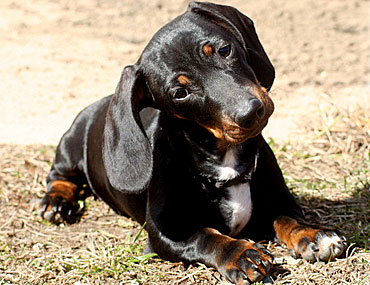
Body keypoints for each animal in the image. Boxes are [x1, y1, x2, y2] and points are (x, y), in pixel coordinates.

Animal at [40, 1, 346, 282]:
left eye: (224, 50)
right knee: (58, 175)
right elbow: (206, 236)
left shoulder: (279, 201)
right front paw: (240, 254)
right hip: (69, 145)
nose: (250, 112)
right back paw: (56, 202)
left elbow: (287, 218)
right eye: (180, 92)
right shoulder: (166, 233)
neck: (223, 161)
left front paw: (314, 234)